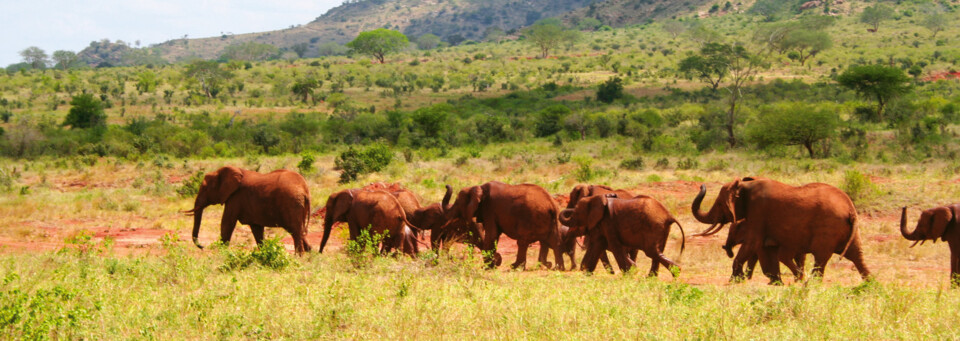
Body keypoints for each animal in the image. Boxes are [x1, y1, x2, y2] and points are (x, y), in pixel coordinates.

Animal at [440, 181, 568, 268]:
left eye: (457, 202)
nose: (446, 185)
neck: (478, 187)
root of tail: (552, 204)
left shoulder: (489, 208)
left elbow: (492, 234)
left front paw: (488, 266)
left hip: (531, 218)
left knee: (523, 242)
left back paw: (515, 267)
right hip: (551, 220)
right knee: (552, 241)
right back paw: (555, 267)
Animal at [560, 194, 688, 276]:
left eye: (576, 213)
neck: (595, 198)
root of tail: (669, 215)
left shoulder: (608, 221)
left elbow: (613, 245)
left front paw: (629, 272)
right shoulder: (601, 224)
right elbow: (597, 244)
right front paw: (586, 271)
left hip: (654, 226)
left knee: (651, 251)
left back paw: (675, 273)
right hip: (662, 229)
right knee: (657, 252)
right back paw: (653, 277)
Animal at [688, 177, 872, 282]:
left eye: (720, 204)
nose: (701, 186)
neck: (745, 185)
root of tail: (850, 209)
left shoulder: (758, 210)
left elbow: (752, 243)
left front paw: (735, 280)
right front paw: (775, 282)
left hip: (828, 228)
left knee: (820, 259)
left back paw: (810, 284)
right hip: (848, 230)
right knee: (857, 256)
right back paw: (870, 285)